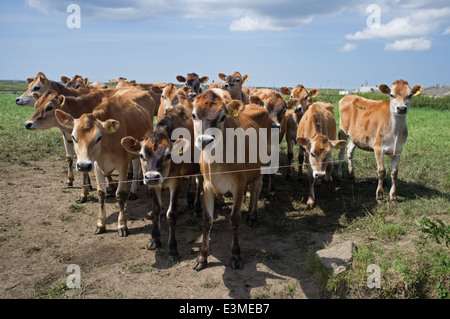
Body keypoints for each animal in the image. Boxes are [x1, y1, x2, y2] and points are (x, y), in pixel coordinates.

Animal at [54, 89, 155, 236]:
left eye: (99, 137)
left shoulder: (123, 165)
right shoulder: (96, 165)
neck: (106, 147)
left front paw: (122, 225)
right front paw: (101, 224)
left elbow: (120, 194)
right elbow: (101, 193)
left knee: (136, 169)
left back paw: (134, 191)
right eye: (73, 137)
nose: (83, 165)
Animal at [122, 106, 201, 262]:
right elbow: (156, 209)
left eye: (168, 155)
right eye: (141, 155)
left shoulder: (175, 182)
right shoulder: (154, 185)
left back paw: (196, 207)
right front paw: (155, 239)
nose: (152, 176)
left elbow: (171, 214)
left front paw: (172, 248)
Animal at [191, 90, 272, 272]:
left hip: (261, 167)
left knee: (257, 188)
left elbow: (234, 220)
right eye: (193, 115)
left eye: (222, 117)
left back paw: (253, 216)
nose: (205, 140)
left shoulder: (239, 185)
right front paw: (202, 257)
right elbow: (207, 220)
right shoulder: (207, 185)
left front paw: (235, 255)